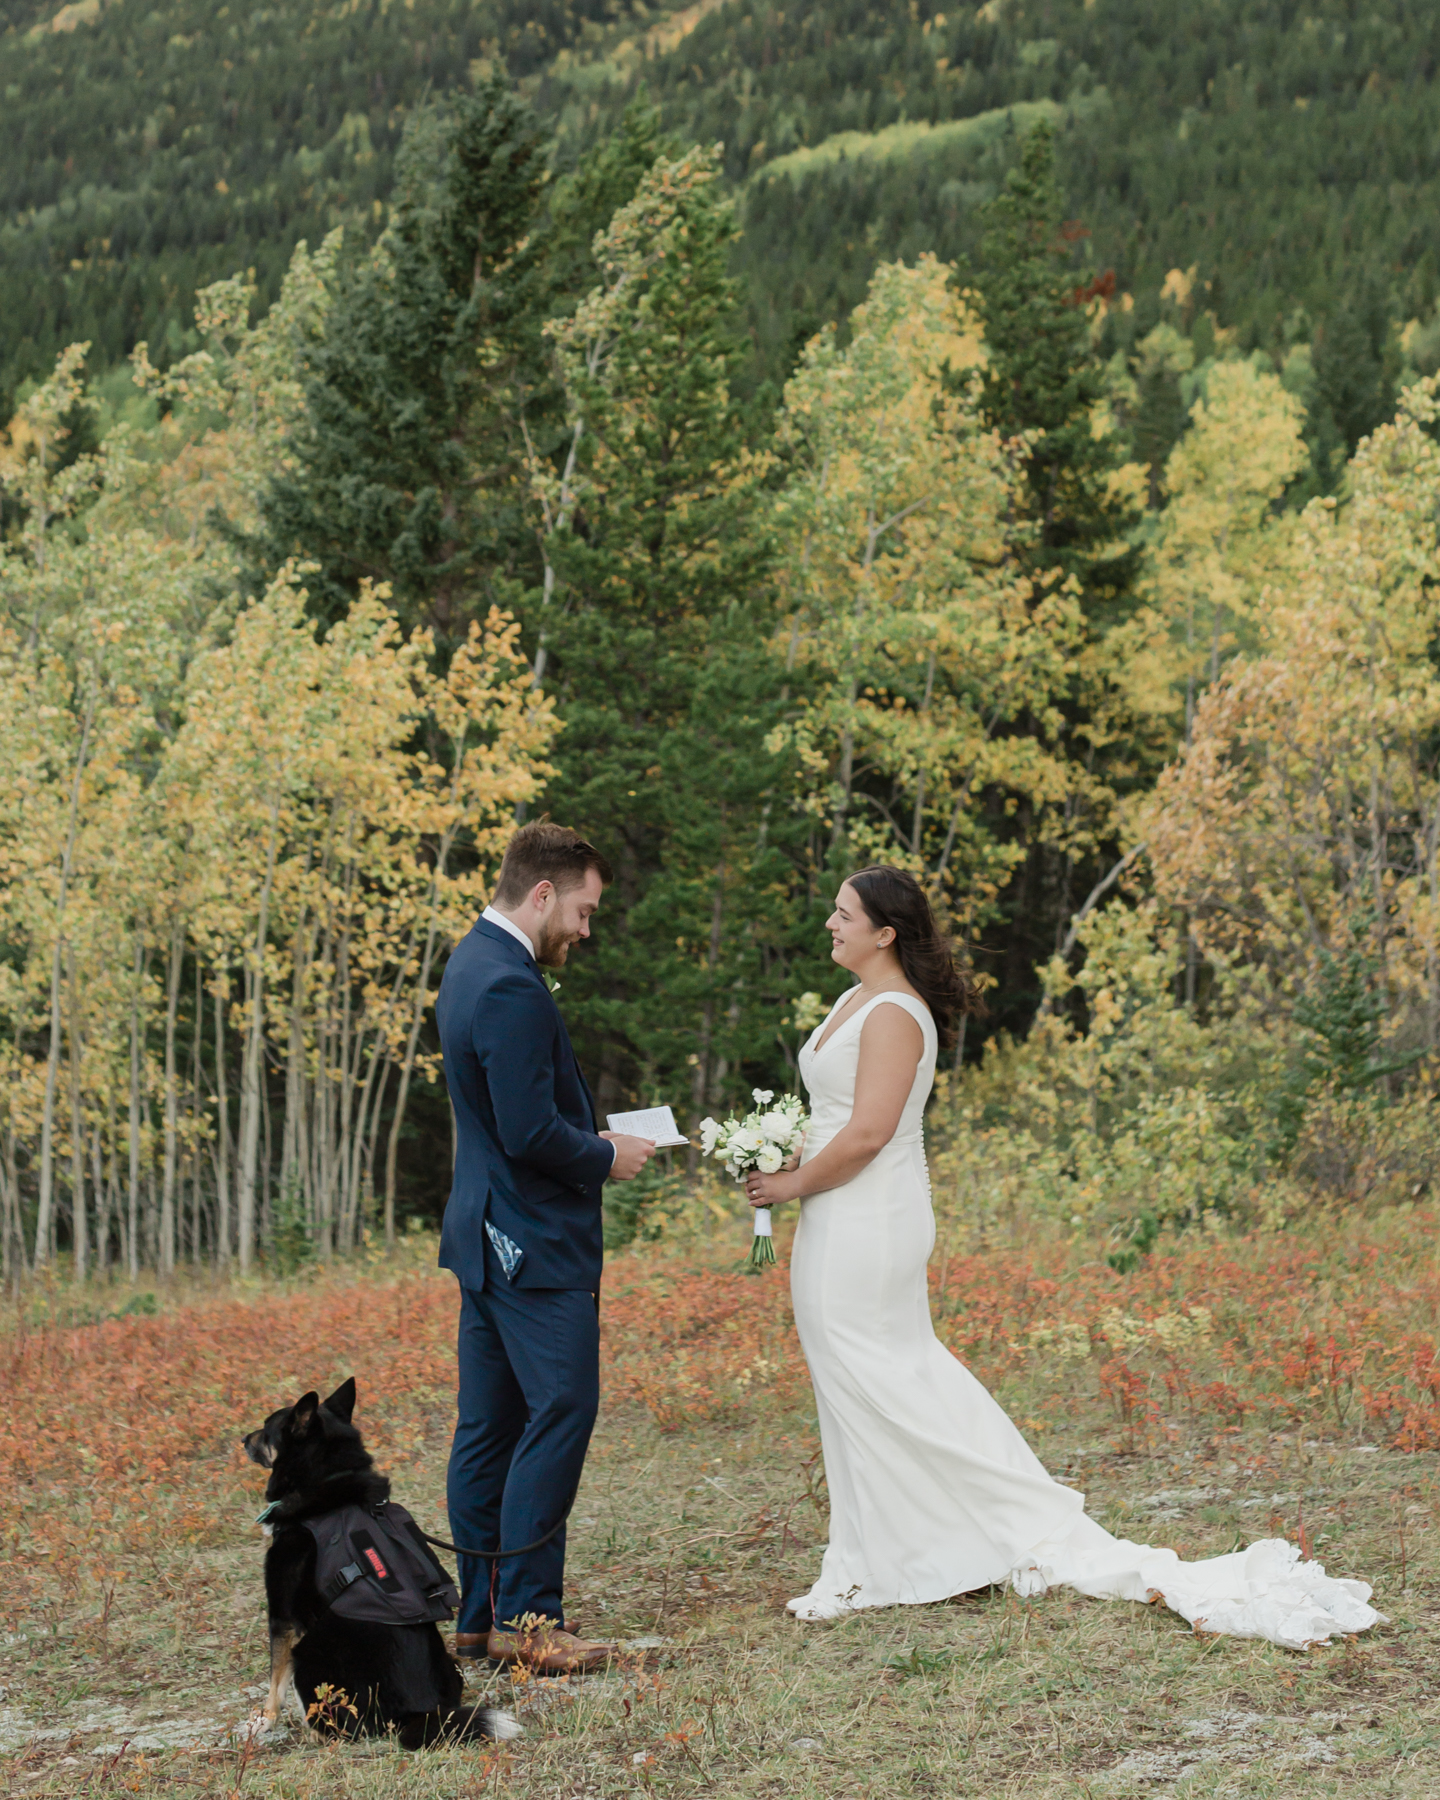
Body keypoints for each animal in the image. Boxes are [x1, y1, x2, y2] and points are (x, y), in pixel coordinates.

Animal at [241, 1375, 518, 1742]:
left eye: (266, 1428)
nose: (243, 1439)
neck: (325, 1478)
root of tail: (414, 1715)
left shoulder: (283, 1614)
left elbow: (275, 1677)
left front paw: (264, 1718)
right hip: (452, 1664)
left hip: (308, 1655)